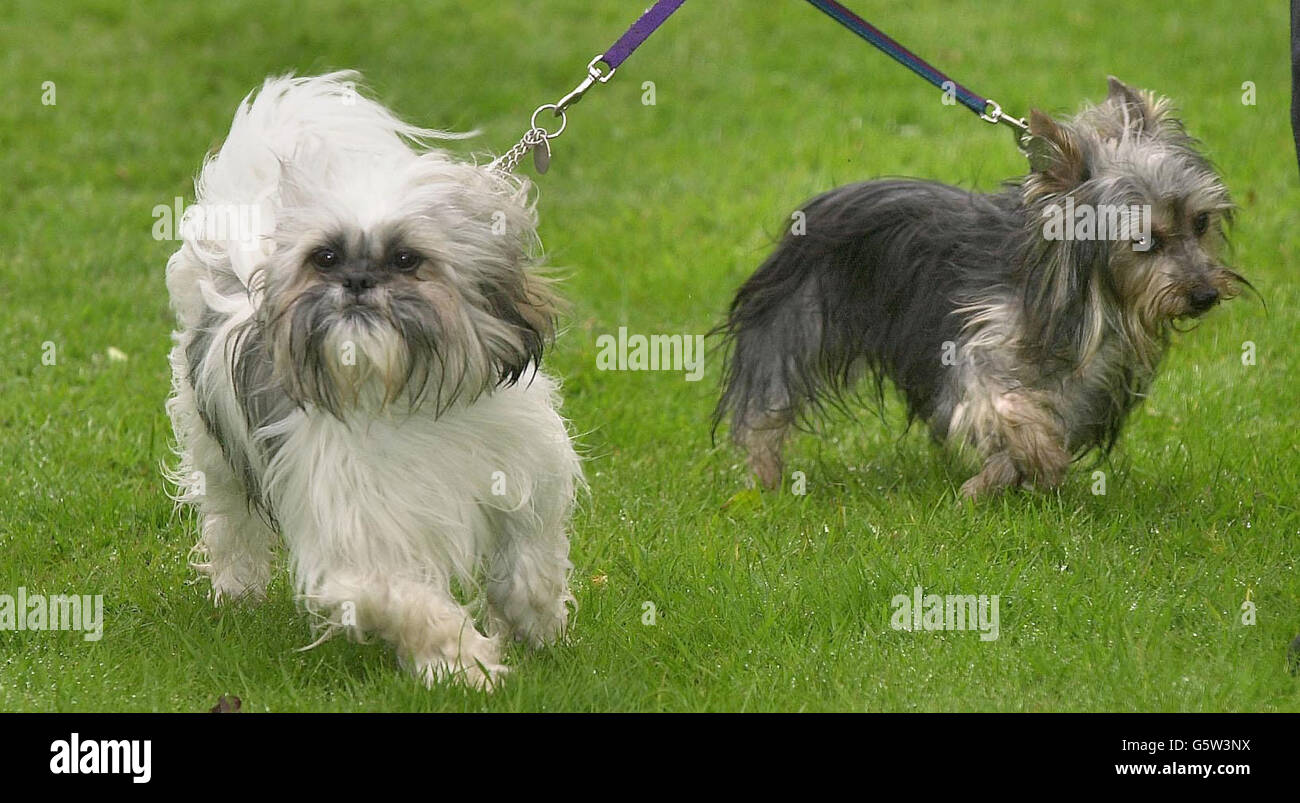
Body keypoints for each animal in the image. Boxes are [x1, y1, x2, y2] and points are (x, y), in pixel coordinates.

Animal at [165, 71, 582, 686]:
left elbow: (531, 553)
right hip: (215, 449)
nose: (358, 280)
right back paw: (236, 590)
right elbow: (408, 600)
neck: (401, 391)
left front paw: (536, 622)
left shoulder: (525, 469)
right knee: (229, 519)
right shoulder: (358, 538)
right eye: (325, 258)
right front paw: (466, 663)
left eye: (407, 259)